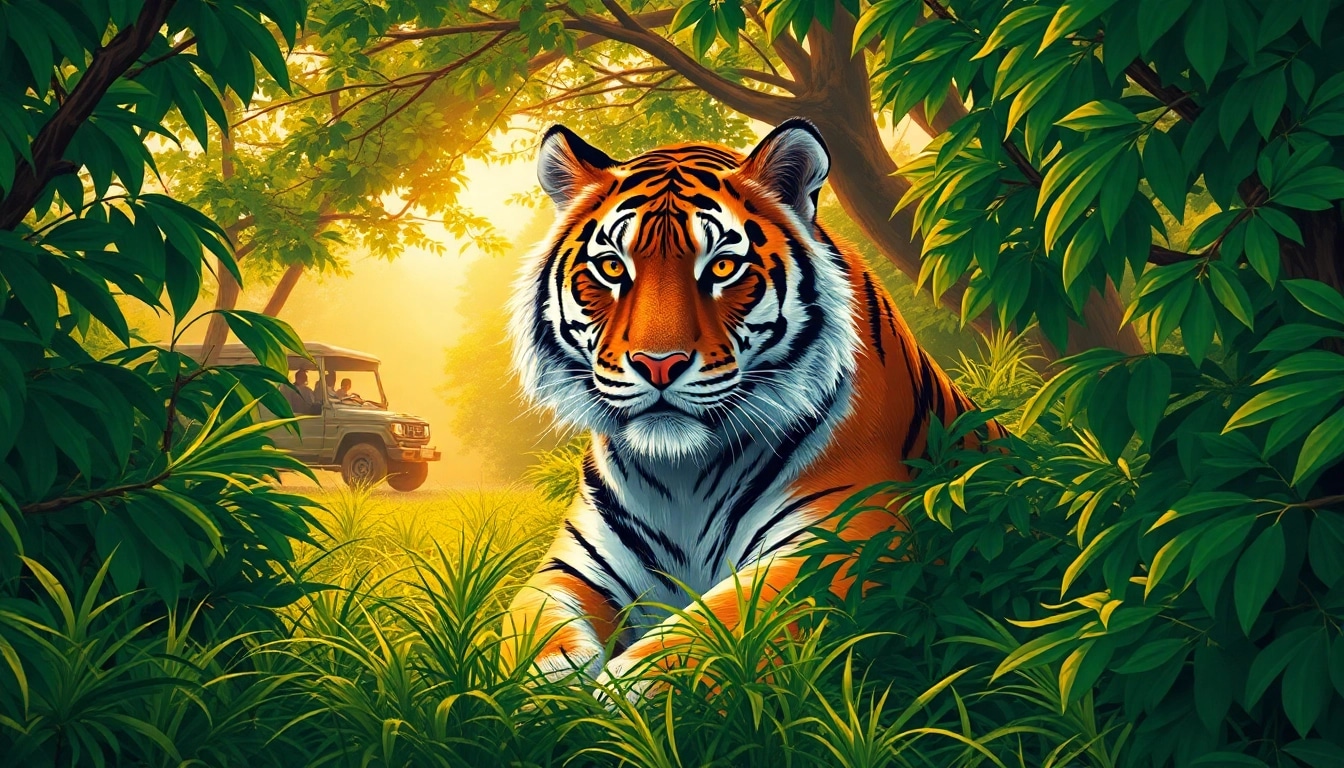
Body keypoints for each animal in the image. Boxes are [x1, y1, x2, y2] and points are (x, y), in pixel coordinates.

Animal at [505, 118, 1000, 688]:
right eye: (611, 267)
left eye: (722, 267)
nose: (658, 364)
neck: (682, 475)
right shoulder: (569, 567)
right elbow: (536, 637)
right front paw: (548, 694)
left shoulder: (840, 536)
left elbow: (702, 633)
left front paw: (620, 696)